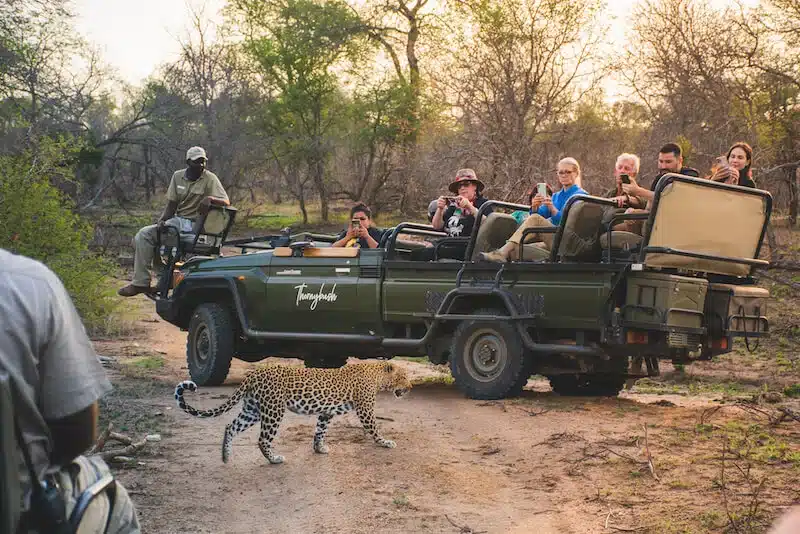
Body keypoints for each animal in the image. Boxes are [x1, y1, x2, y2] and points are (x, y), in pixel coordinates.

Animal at [174, 361, 412, 464]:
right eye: (403, 377)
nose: (410, 387)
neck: (378, 375)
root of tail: (253, 374)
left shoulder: (326, 412)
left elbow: (320, 430)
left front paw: (319, 449)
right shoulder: (365, 409)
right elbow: (375, 428)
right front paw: (386, 442)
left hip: (253, 410)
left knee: (230, 426)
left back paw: (226, 456)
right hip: (273, 410)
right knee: (262, 439)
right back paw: (274, 459)